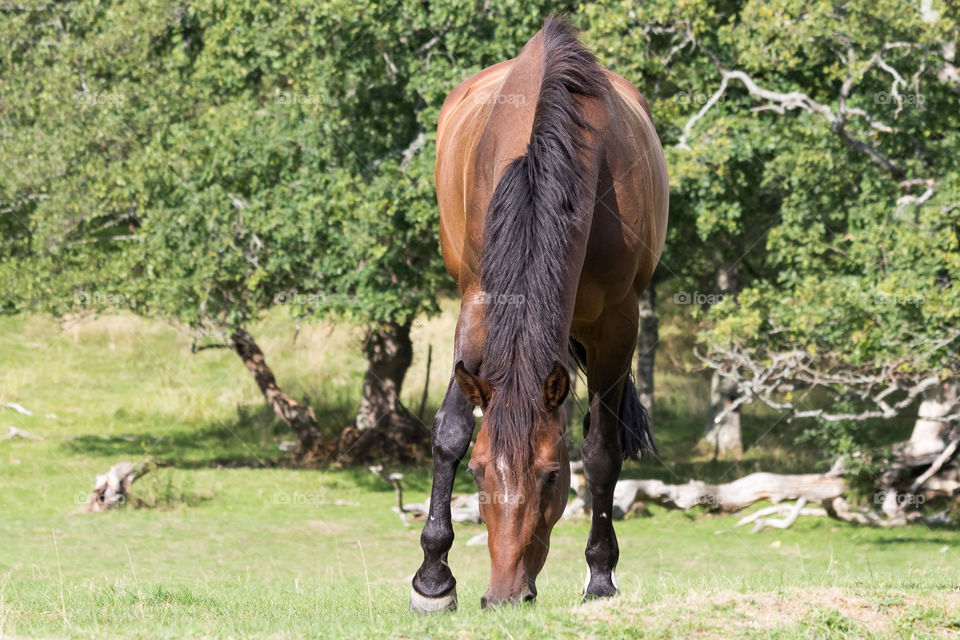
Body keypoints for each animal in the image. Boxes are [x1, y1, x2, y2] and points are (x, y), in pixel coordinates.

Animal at [410, 18, 669, 612]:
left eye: (552, 476)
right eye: (478, 473)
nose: (504, 594)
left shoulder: (617, 324)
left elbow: (601, 452)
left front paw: (600, 576)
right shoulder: (479, 303)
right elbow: (451, 431)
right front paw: (433, 580)